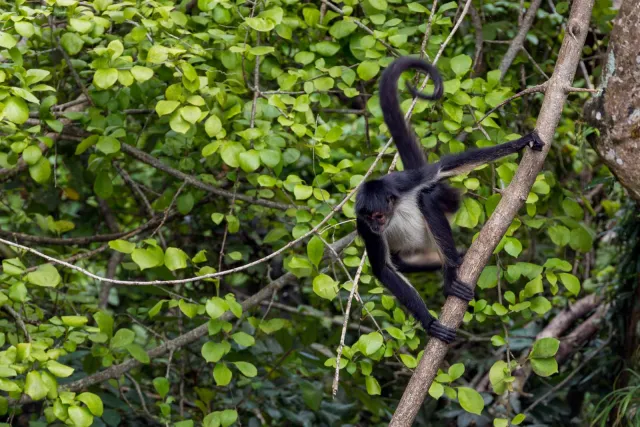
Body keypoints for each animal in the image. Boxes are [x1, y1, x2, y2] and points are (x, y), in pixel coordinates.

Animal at [358, 57, 544, 344]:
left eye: (378, 215)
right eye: (369, 218)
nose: (376, 225)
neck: (393, 210)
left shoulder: (404, 182)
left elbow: (442, 167)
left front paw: (522, 141)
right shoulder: (362, 225)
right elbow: (384, 270)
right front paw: (429, 322)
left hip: (448, 198)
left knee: (428, 198)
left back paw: (451, 274)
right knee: (402, 261)